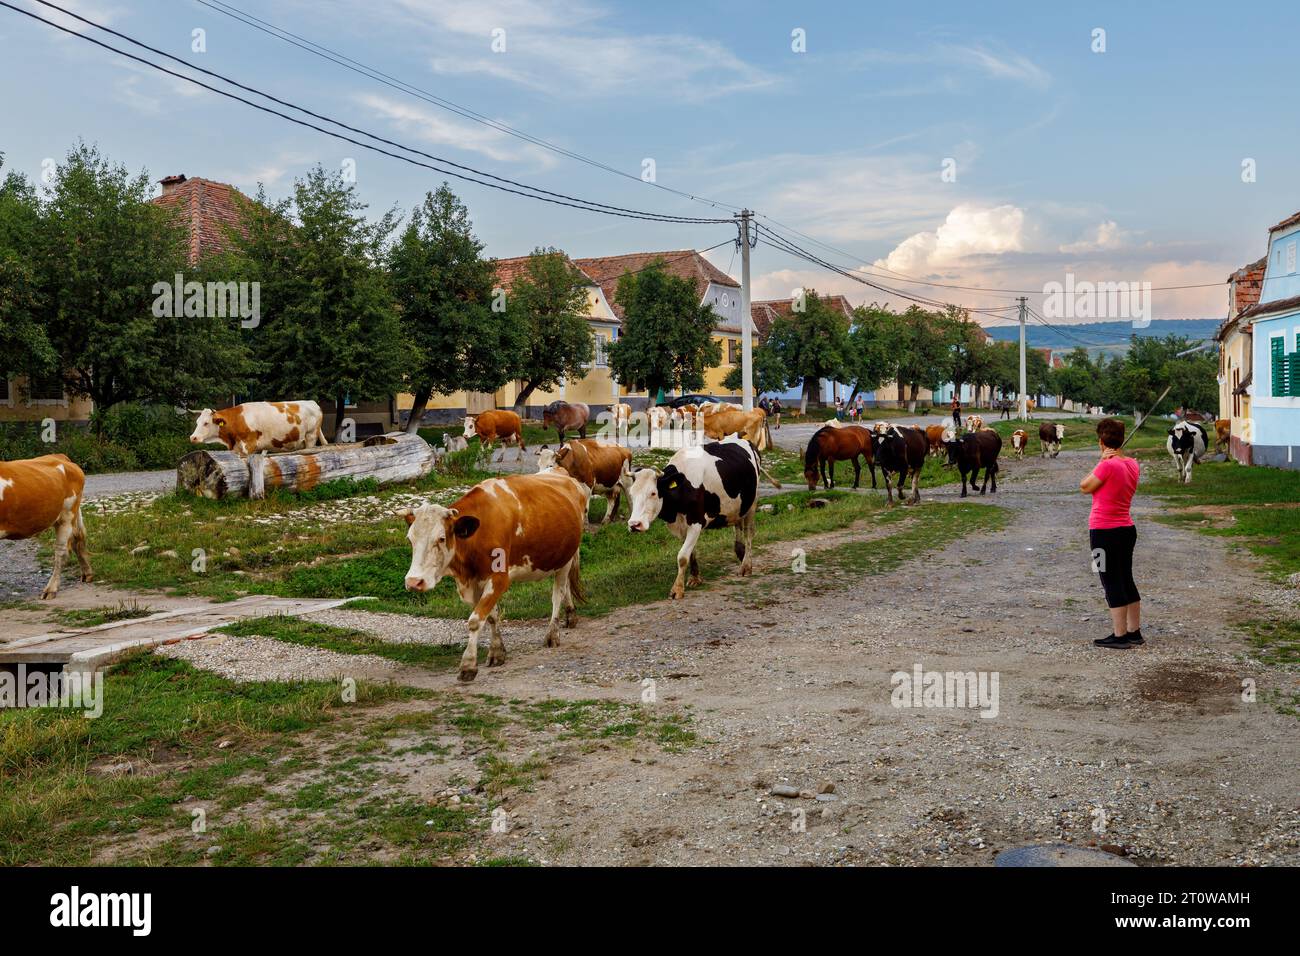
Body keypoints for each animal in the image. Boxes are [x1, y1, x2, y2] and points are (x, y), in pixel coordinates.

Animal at [0, 455, 91, 598]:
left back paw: (51, 589)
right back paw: (87, 573)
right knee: (77, 539)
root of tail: (60, 456)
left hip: (67, 515)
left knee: (61, 552)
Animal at [189, 398, 327, 455]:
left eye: (206, 423)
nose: (193, 438)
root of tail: (312, 402)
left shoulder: (249, 446)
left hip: (311, 437)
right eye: (197, 422)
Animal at [403, 470, 587, 681]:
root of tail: (559, 472)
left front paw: (468, 665)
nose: (413, 582)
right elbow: (491, 616)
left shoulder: (499, 579)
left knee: (558, 594)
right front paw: (497, 652)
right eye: (410, 539)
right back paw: (570, 615)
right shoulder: (474, 583)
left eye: (441, 538)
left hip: (566, 558)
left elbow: (475, 620)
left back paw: (552, 634)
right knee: (566, 588)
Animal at [621, 439, 759, 598]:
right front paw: (695, 577)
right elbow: (690, 552)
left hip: (752, 504)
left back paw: (746, 566)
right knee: (738, 526)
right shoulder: (681, 526)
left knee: (749, 534)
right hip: (738, 507)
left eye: (653, 493)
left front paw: (677, 589)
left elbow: (682, 556)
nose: (634, 524)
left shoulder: (696, 522)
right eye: (631, 494)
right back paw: (740, 553)